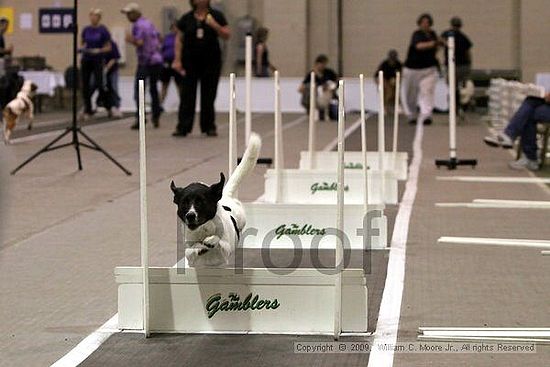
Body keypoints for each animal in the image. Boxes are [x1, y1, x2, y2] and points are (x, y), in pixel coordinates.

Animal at [170, 134, 264, 266]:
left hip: (241, 219)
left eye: (201, 201)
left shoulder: (225, 250)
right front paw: (199, 247)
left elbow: (219, 241)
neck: (204, 230)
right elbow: (190, 250)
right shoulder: (190, 257)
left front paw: (211, 240)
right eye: (184, 202)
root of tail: (225, 195)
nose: (190, 215)